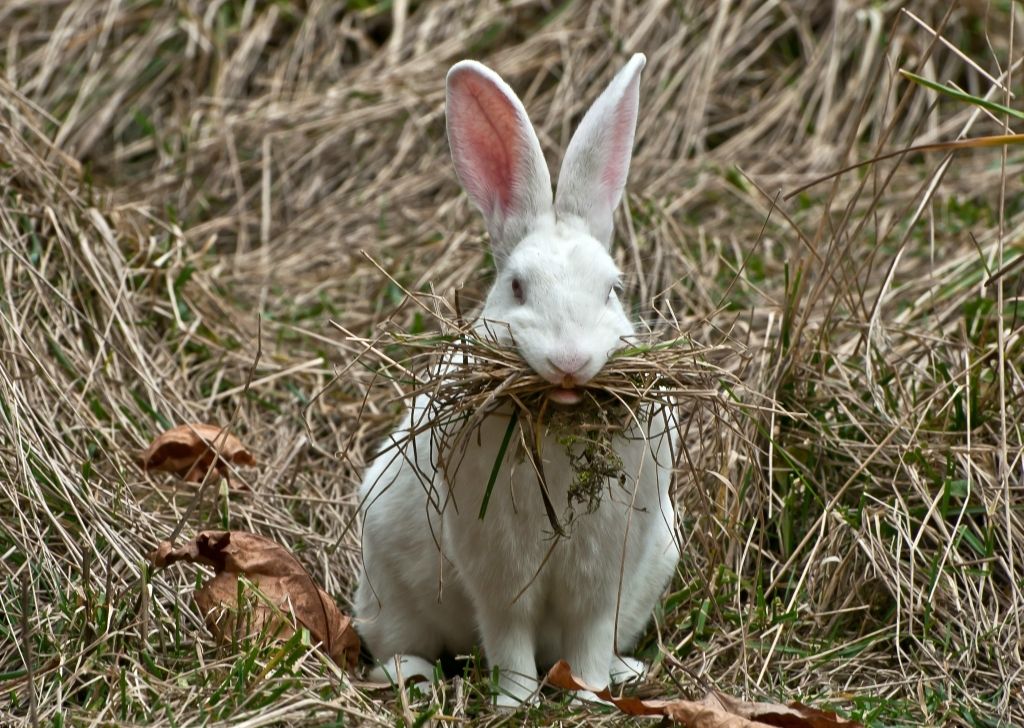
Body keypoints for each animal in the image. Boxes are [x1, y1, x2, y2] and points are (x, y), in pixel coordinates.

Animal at [354, 52, 679, 704]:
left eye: (613, 290)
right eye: (517, 287)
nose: (570, 360)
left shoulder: (602, 576)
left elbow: (588, 635)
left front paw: (588, 694)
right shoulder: (498, 573)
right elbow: (509, 637)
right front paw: (517, 702)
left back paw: (627, 674)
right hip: (387, 590)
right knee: (394, 647)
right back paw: (414, 678)